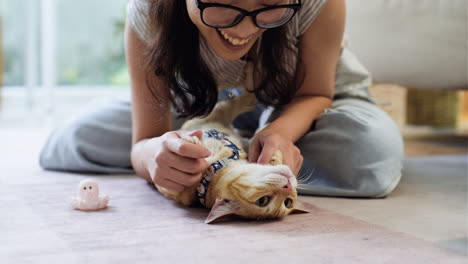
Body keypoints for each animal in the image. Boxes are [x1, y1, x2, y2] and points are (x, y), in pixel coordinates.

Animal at [154, 63, 308, 224]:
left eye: (287, 202)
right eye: (263, 201)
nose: (289, 186)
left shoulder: (217, 113)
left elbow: (239, 104)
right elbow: (240, 103)